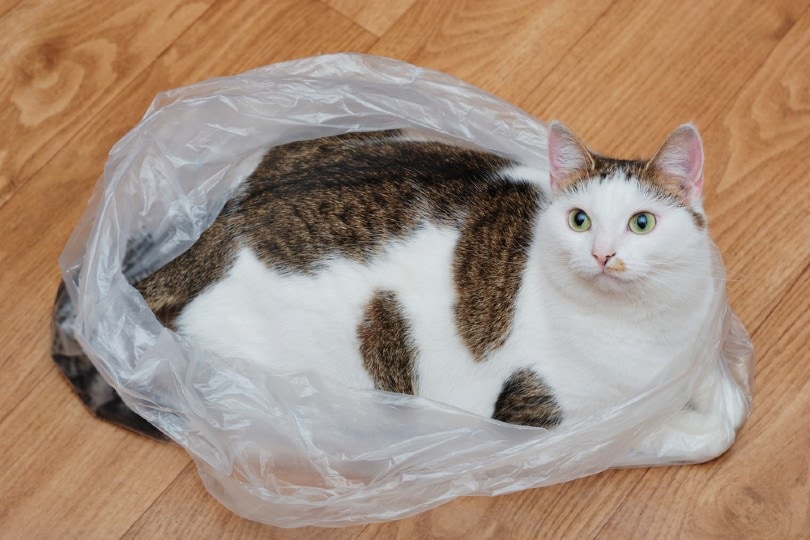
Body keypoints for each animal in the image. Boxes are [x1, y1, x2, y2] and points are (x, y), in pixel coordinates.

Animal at [52, 121, 744, 456]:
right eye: (579, 221)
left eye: (642, 223)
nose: (604, 255)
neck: (641, 325)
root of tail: (222, 227)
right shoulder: (542, 418)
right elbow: (689, 430)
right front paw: (697, 425)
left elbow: (720, 390)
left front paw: (718, 393)